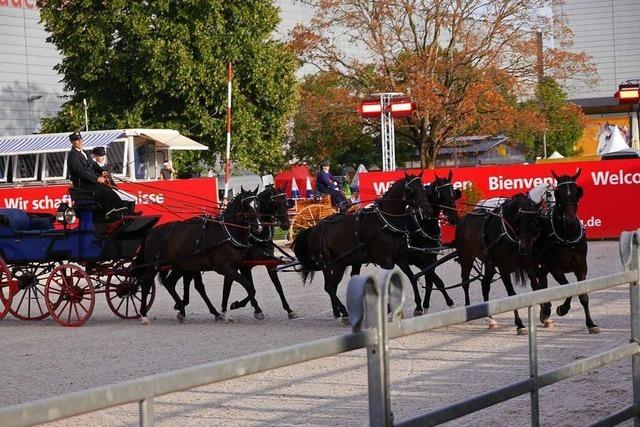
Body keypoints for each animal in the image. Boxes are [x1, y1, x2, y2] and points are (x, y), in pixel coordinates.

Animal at [136, 187, 264, 324]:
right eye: (246, 206)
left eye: (258, 205)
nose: (258, 228)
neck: (226, 233)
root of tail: (153, 230)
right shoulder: (224, 268)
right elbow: (248, 286)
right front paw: (248, 308)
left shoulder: (232, 268)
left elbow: (230, 290)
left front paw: (226, 312)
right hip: (154, 265)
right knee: (146, 284)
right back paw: (144, 315)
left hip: (179, 265)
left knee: (170, 283)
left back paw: (182, 310)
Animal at [294, 172, 432, 322]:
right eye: (412, 190)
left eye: (423, 188)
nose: (427, 209)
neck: (386, 221)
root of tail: (314, 228)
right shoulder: (386, 262)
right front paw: (388, 308)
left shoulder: (400, 258)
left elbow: (412, 277)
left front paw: (418, 306)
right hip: (327, 263)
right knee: (329, 287)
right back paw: (343, 312)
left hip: (341, 263)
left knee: (333, 286)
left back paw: (339, 312)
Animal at [456, 193, 540, 334]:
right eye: (520, 220)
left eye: (535, 222)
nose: (525, 248)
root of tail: (464, 220)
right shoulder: (503, 268)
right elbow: (511, 294)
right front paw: (520, 324)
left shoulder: (528, 265)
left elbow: (537, 288)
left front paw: (546, 314)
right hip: (467, 258)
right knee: (465, 282)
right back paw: (468, 307)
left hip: (489, 263)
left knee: (485, 284)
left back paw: (490, 319)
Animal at [536, 171, 600, 334]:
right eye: (559, 193)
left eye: (576, 192)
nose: (571, 220)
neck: (569, 236)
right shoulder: (556, 269)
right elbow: (567, 289)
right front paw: (562, 309)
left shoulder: (581, 268)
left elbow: (583, 296)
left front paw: (591, 323)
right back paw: (545, 311)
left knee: (541, 278)